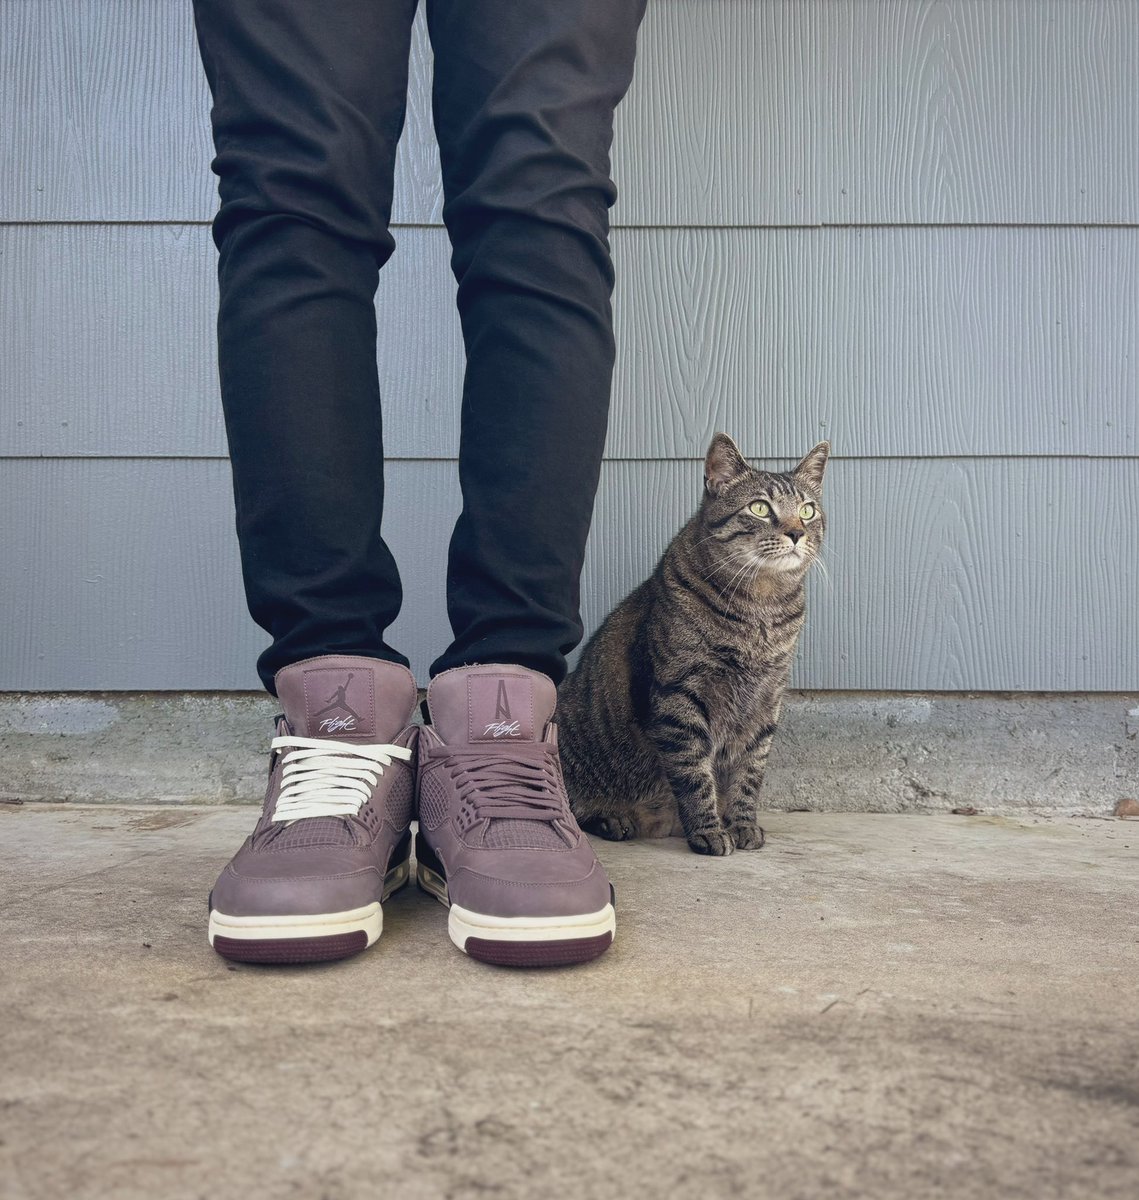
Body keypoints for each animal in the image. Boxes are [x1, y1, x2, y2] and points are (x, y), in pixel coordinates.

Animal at [556, 432, 825, 854]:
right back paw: (612, 818)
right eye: (760, 508)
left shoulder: (767, 701)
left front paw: (743, 824)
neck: (761, 608)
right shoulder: (680, 696)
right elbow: (695, 774)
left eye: (808, 511)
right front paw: (708, 830)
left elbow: (749, 775)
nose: (797, 532)